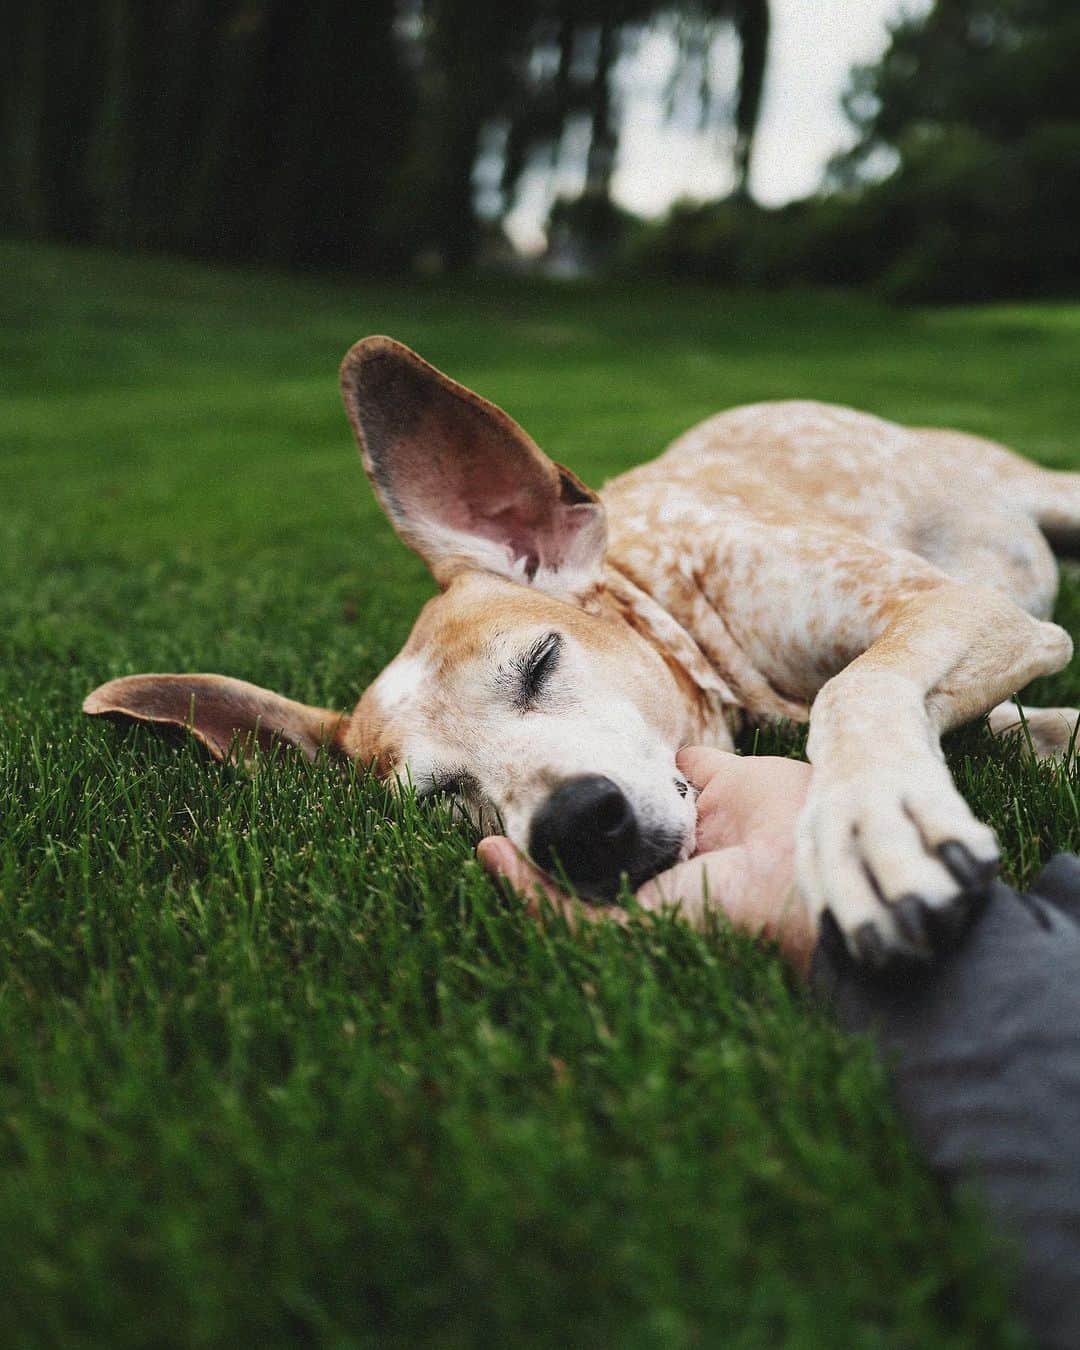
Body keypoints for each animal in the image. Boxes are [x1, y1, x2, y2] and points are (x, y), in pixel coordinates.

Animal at [84, 342, 1080, 966]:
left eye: (542, 660)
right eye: (440, 798)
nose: (572, 826)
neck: (673, 594)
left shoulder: (955, 607)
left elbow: (855, 691)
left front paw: (872, 828)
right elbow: (1019, 726)